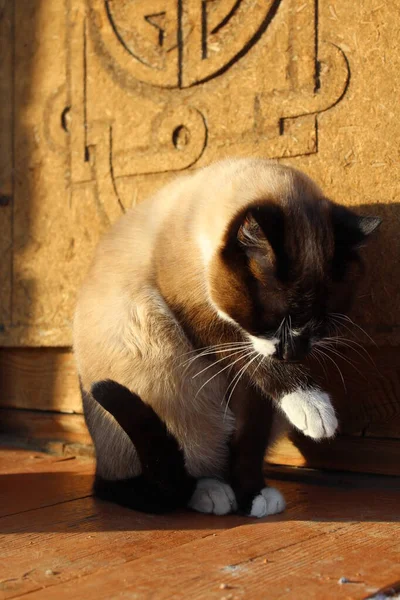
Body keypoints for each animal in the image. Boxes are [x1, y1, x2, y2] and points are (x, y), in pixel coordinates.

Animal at [73, 158, 380, 516]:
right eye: (273, 320)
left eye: (320, 324)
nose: (291, 353)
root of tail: (98, 466)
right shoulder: (202, 319)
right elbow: (258, 364)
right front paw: (313, 406)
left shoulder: (251, 390)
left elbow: (249, 441)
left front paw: (252, 495)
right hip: (161, 358)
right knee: (156, 475)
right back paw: (210, 492)